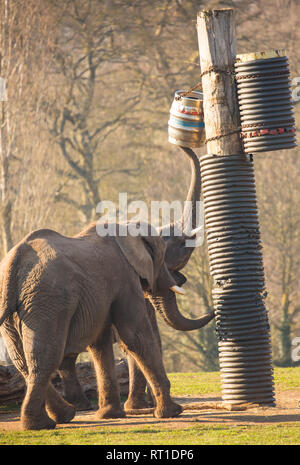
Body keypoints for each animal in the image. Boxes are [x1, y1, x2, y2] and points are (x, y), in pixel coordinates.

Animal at [0, 219, 213, 430]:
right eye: (160, 260)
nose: (212, 311)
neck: (126, 227)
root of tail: (14, 262)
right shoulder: (125, 278)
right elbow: (135, 336)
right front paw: (172, 412)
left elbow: (99, 344)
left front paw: (109, 415)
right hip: (48, 300)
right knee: (46, 357)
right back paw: (44, 423)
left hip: (16, 305)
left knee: (22, 360)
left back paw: (61, 416)